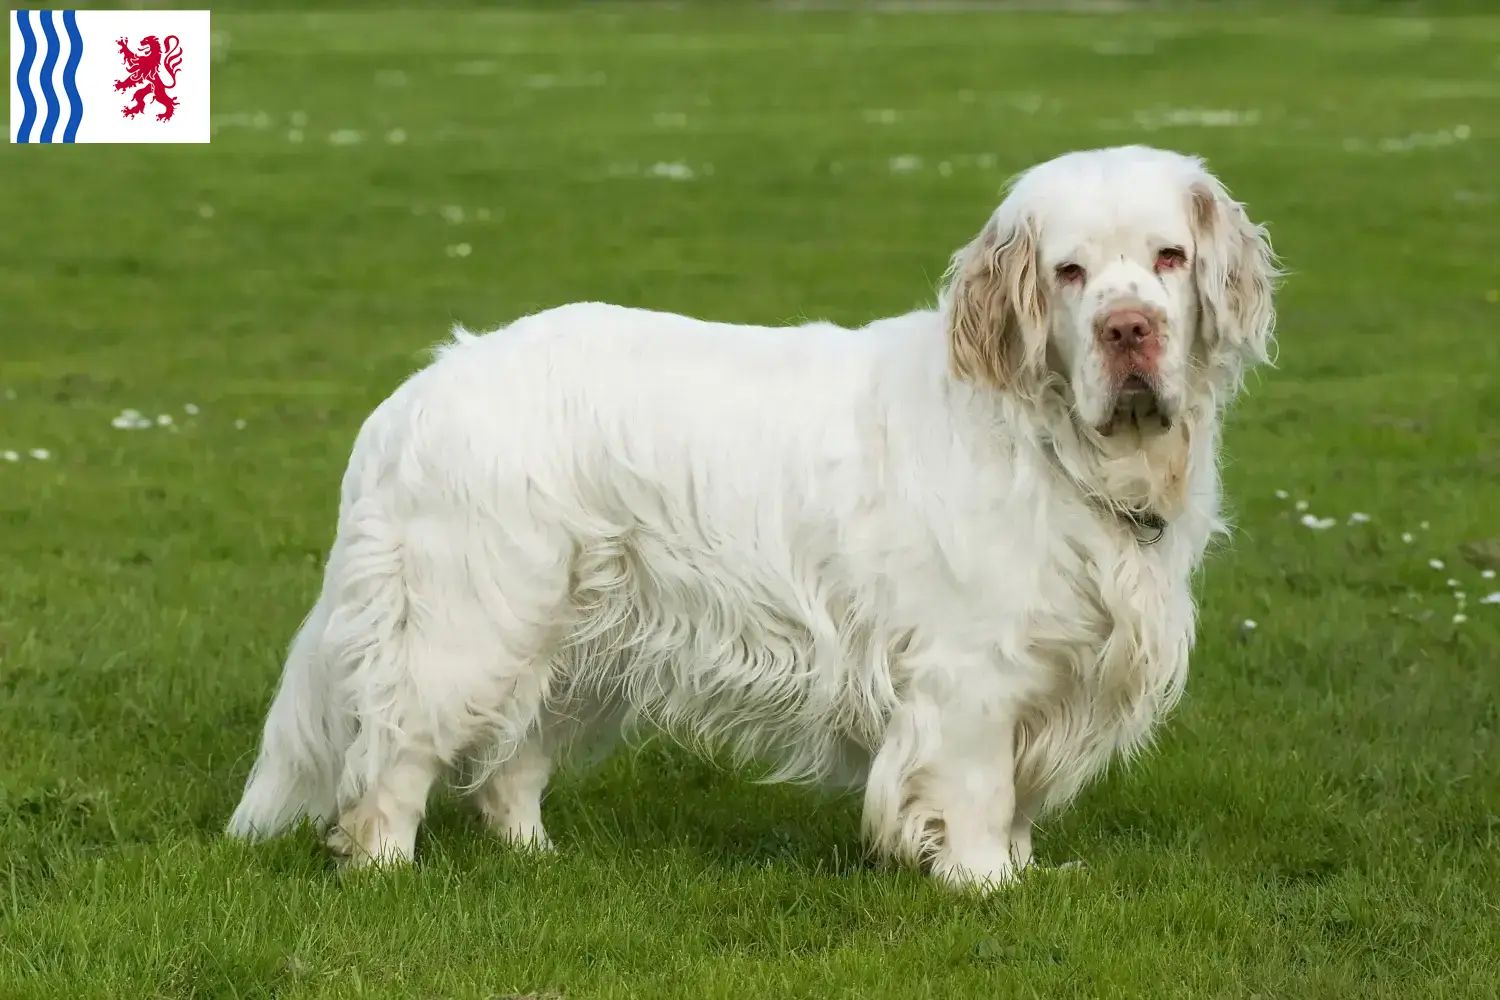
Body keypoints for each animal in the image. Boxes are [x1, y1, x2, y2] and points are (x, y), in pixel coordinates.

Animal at [231, 144, 1278, 887]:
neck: (1058, 445)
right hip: (468, 624)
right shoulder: (972, 672)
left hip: (577, 640)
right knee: (394, 757)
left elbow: (1018, 799)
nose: (1130, 330)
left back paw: (539, 861)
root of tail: (421, 387)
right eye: (1069, 273)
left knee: (510, 770)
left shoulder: (1057, 667)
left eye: (1169, 258)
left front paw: (1026, 871)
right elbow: (978, 790)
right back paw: (384, 869)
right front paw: (985, 884)